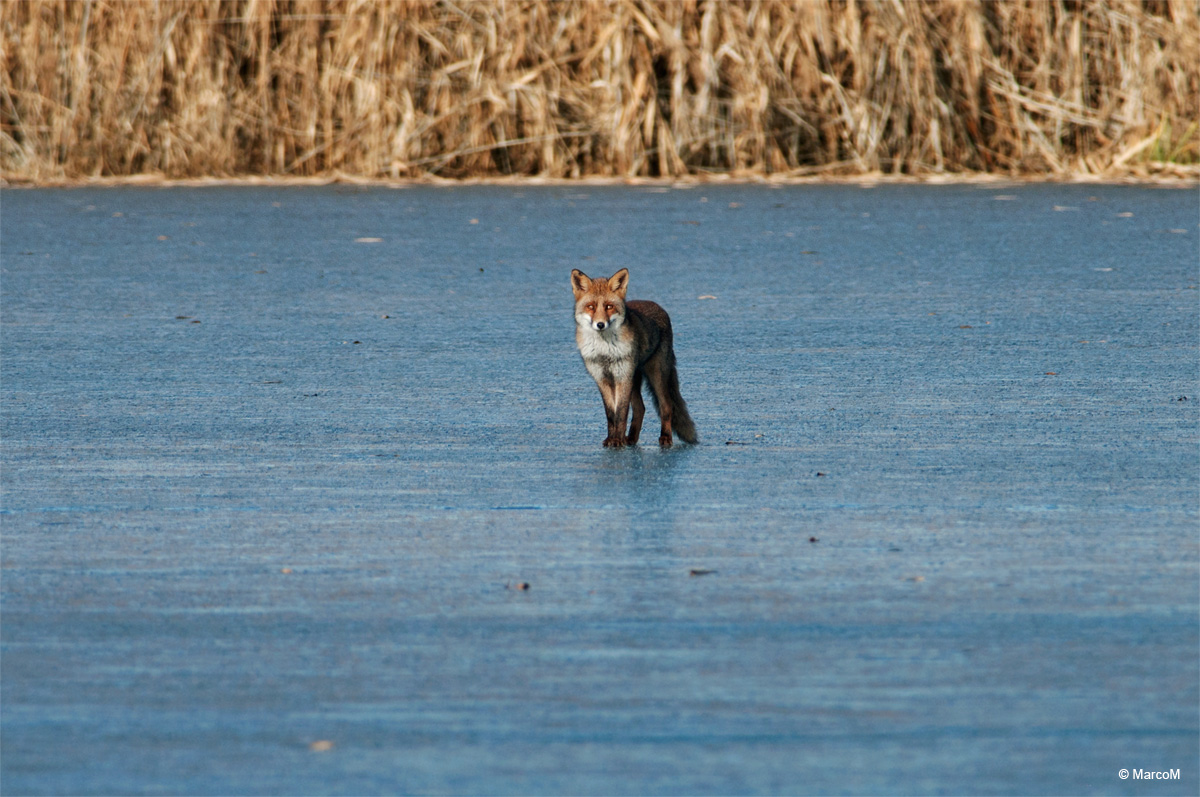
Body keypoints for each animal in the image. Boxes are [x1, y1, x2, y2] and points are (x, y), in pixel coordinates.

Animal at [571, 267, 698, 449]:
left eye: (609, 306)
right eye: (591, 307)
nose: (600, 324)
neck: (605, 350)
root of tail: (658, 306)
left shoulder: (623, 377)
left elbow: (621, 413)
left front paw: (617, 440)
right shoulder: (602, 378)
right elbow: (611, 414)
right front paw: (612, 438)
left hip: (655, 375)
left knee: (666, 406)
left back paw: (665, 437)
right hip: (635, 379)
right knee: (640, 408)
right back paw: (630, 438)